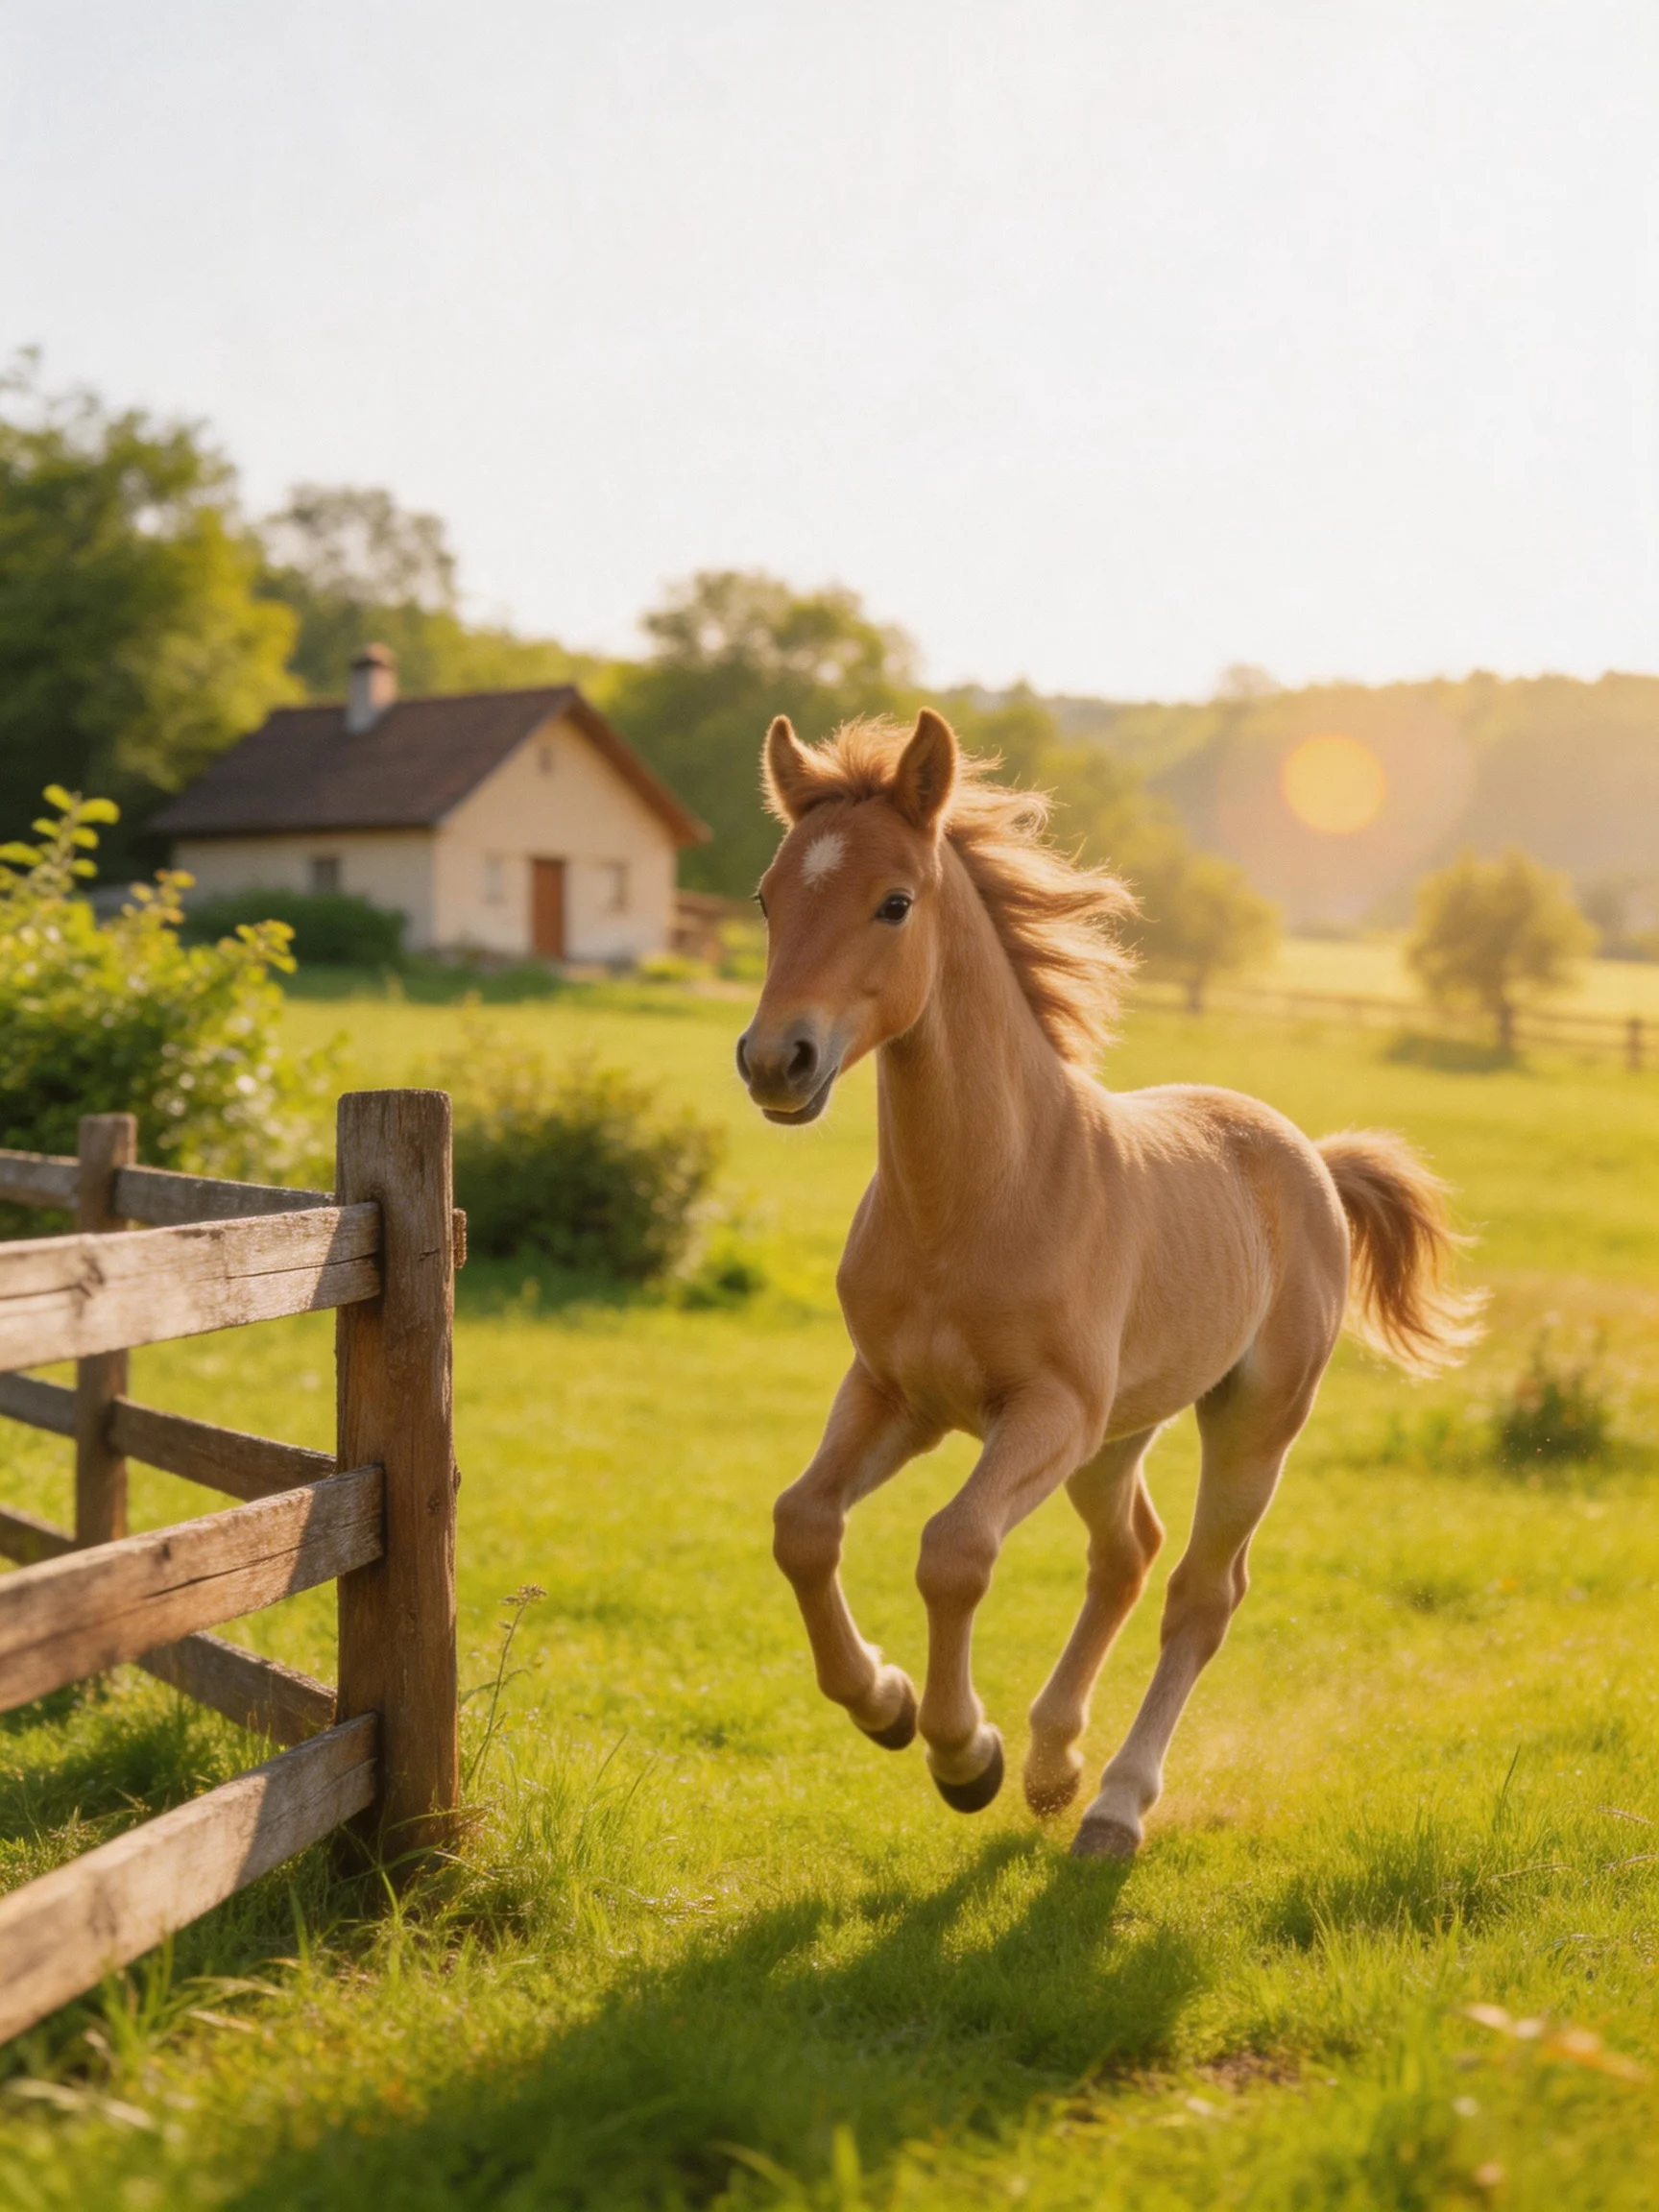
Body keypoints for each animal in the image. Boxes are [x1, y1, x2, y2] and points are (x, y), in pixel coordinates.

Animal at [736, 707, 1484, 1858]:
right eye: (769, 898)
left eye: (894, 901)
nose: (778, 1061)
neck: (981, 1196)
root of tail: (1311, 1157)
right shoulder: (894, 1393)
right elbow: (804, 1524)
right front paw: (889, 1705)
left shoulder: (1045, 1412)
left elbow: (954, 1549)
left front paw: (964, 1755)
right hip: (1121, 1434)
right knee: (1127, 1553)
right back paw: (1056, 1765)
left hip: (1248, 1424)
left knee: (1201, 1593)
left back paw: (1115, 1804)